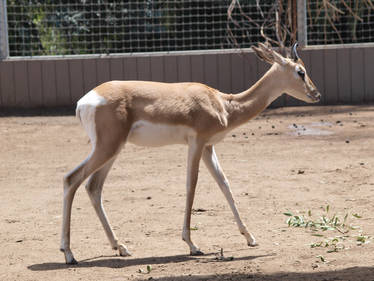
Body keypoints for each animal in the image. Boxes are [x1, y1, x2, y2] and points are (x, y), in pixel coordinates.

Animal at [60, 42, 320, 262]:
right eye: (300, 71)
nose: (316, 94)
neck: (224, 104)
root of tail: (84, 102)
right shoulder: (196, 143)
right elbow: (191, 186)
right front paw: (192, 244)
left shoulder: (208, 147)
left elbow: (225, 185)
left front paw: (250, 237)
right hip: (107, 148)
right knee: (71, 179)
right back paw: (69, 253)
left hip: (113, 150)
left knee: (93, 187)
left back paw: (120, 247)